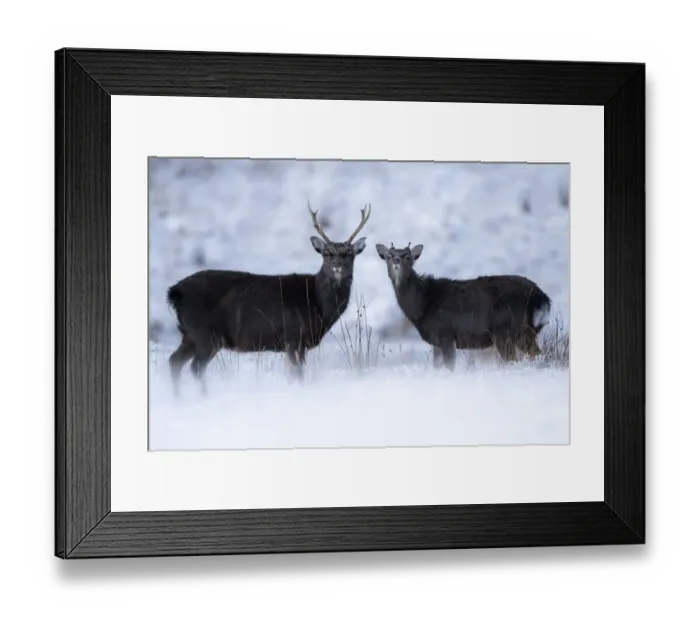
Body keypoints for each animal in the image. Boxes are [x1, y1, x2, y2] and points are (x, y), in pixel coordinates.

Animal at [166, 202, 372, 395]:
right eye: (326, 253)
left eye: (349, 254)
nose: (338, 265)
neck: (316, 303)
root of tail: (175, 291)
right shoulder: (294, 336)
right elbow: (298, 375)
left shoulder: (296, 342)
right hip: (205, 334)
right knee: (195, 367)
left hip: (190, 334)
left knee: (174, 361)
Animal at [375, 242, 552, 370]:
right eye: (389, 255)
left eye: (407, 256)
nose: (396, 260)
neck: (422, 306)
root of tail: (541, 297)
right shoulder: (437, 341)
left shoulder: (446, 333)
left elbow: (450, 367)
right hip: (520, 331)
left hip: (508, 329)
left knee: (520, 359)